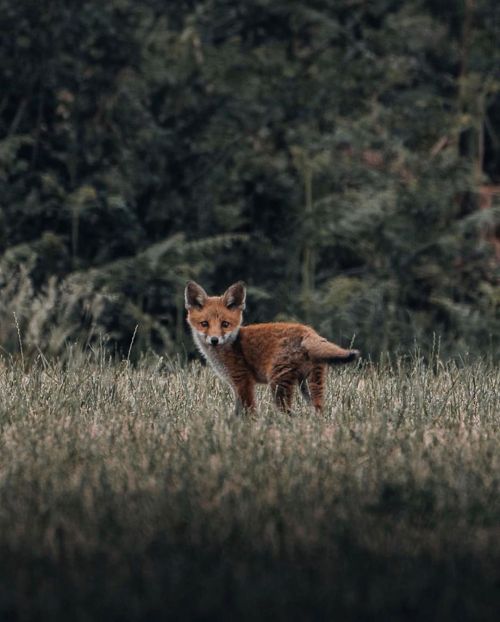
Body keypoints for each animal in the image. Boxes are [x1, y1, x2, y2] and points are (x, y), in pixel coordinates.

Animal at [184, 282, 360, 416]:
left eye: (225, 324)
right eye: (204, 324)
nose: (214, 340)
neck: (231, 345)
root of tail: (308, 331)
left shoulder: (243, 380)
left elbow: (249, 411)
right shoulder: (235, 385)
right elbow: (237, 411)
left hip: (278, 384)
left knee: (289, 414)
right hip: (309, 384)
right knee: (319, 409)